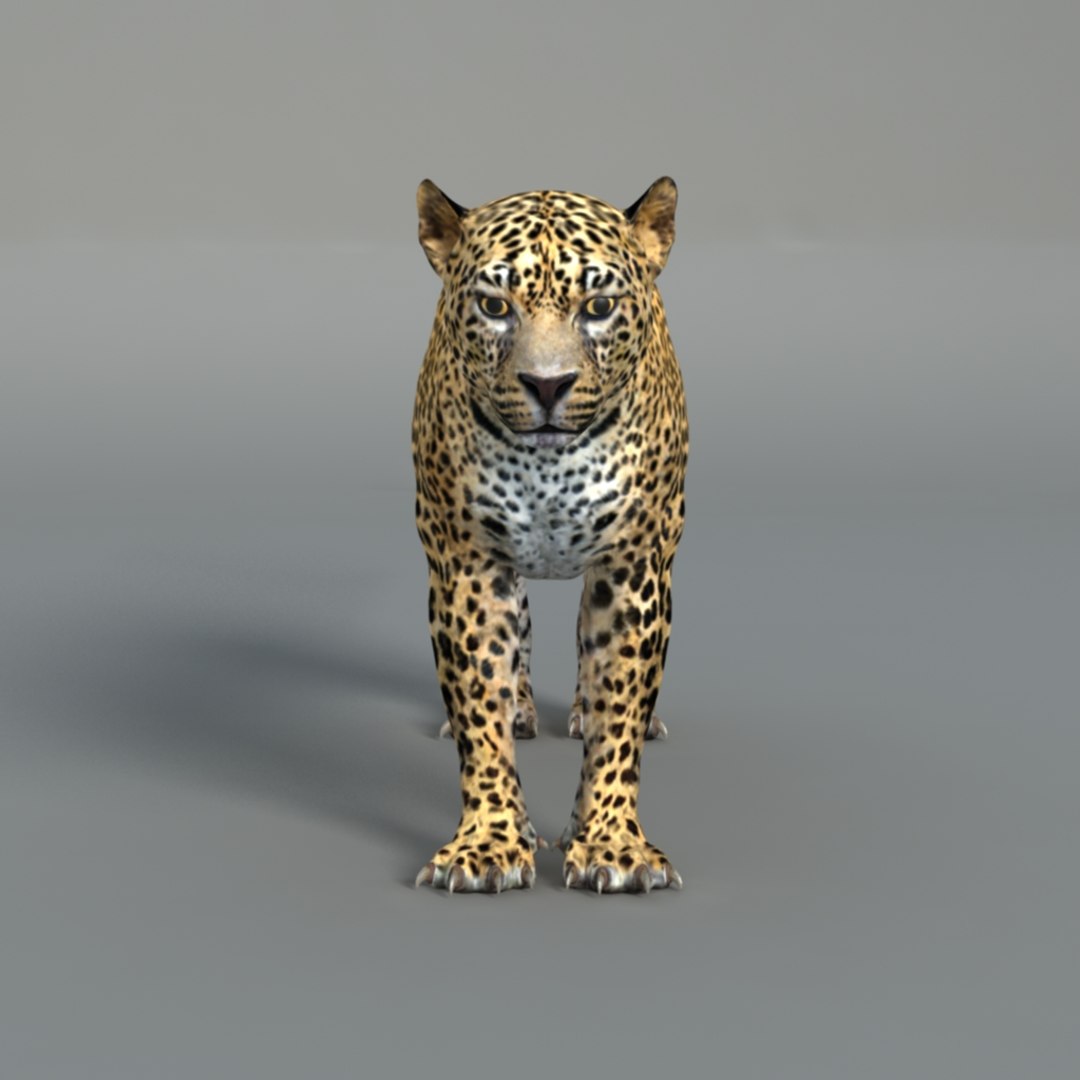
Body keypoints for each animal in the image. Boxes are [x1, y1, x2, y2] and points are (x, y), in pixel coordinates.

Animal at [411, 177, 688, 894]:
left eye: (598, 306)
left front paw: (612, 843)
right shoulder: (468, 564)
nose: (547, 385)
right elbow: (479, 708)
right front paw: (488, 844)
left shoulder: (632, 568)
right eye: (493, 305)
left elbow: (620, 707)